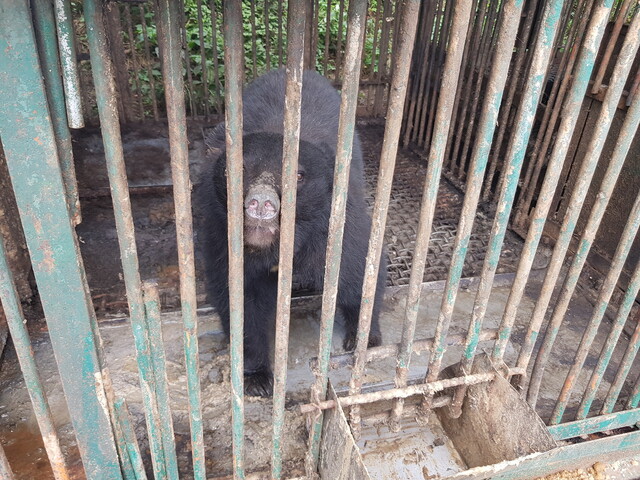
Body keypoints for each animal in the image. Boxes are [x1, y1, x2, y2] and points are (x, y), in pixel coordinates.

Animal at [195, 68, 384, 398]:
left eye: (298, 174)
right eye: (238, 169)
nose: (261, 203)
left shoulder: (335, 226)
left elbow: (359, 271)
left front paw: (362, 340)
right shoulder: (221, 234)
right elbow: (240, 301)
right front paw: (257, 378)